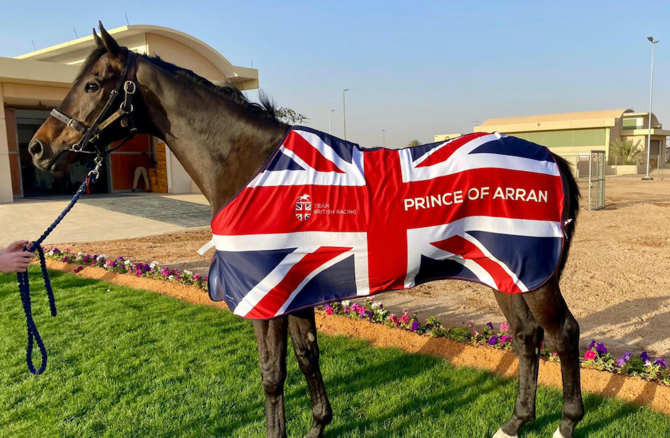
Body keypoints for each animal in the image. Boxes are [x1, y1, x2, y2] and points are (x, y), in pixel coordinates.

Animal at [28, 24, 584, 438]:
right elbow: (307, 357)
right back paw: (515, 423)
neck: (248, 165)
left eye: (92, 85)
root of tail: (553, 158)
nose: (38, 148)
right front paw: (319, 425)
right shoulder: (292, 291)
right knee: (526, 337)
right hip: (505, 272)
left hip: (534, 276)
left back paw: (565, 423)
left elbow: (273, 376)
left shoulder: (265, 297)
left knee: (563, 334)